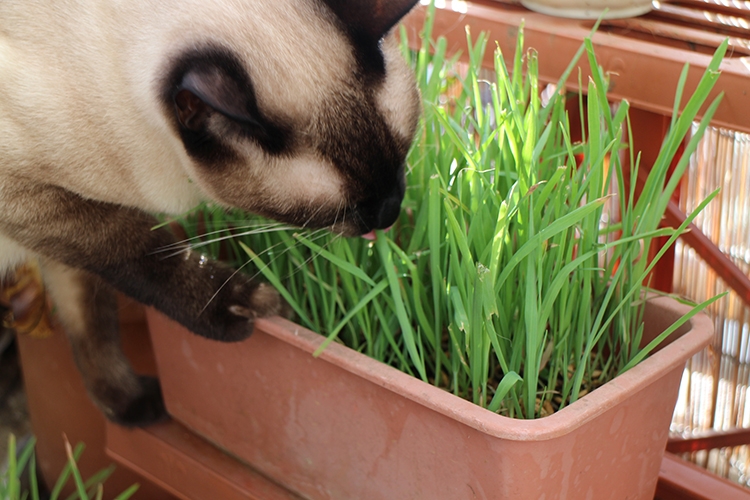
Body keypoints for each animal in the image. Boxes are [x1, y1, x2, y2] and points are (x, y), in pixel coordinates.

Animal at [0, 0, 424, 426]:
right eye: (346, 208)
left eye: (402, 158)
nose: (389, 211)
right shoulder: (36, 201)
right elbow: (141, 251)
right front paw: (243, 306)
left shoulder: (59, 227)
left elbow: (91, 323)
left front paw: (128, 405)